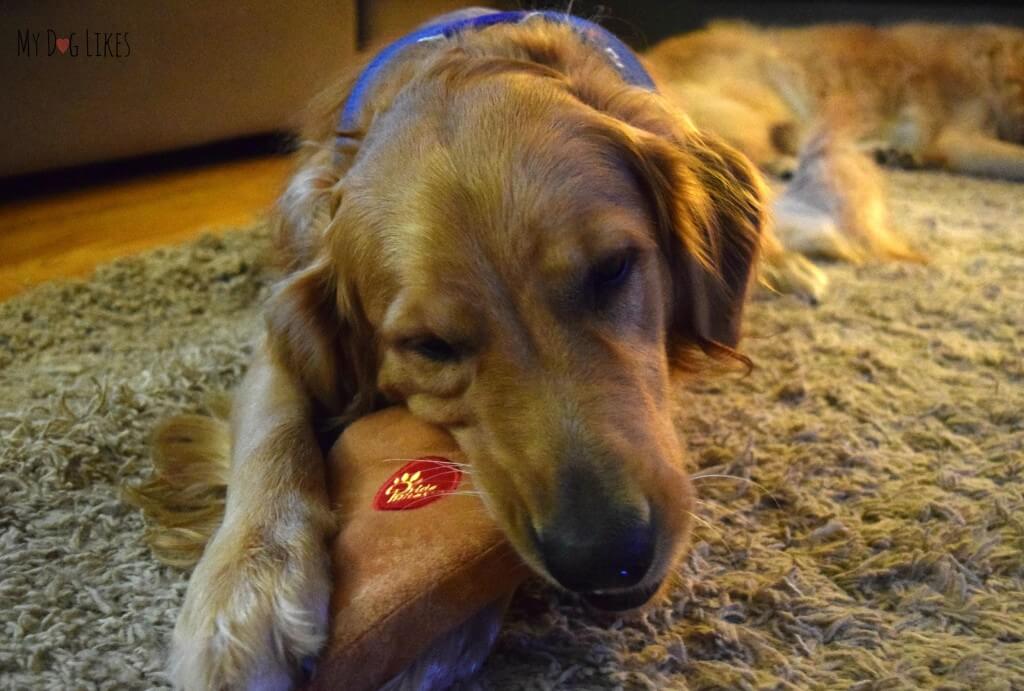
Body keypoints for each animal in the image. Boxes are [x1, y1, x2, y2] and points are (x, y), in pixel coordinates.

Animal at [128, 6, 856, 691]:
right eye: (428, 344)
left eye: (613, 269)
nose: (607, 555)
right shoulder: (286, 314)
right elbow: (270, 426)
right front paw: (246, 589)